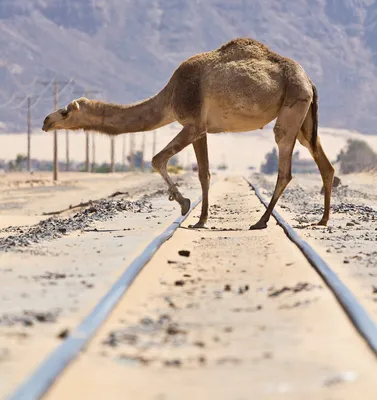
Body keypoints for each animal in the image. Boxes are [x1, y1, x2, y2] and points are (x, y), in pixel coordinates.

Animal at [42, 39, 334, 231]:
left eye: (65, 112)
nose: (46, 121)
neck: (169, 96)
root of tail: (309, 81)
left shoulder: (191, 123)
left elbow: (157, 159)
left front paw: (183, 203)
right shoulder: (201, 129)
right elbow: (204, 173)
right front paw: (201, 219)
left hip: (292, 106)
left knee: (285, 167)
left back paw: (261, 221)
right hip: (305, 117)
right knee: (323, 163)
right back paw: (322, 219)